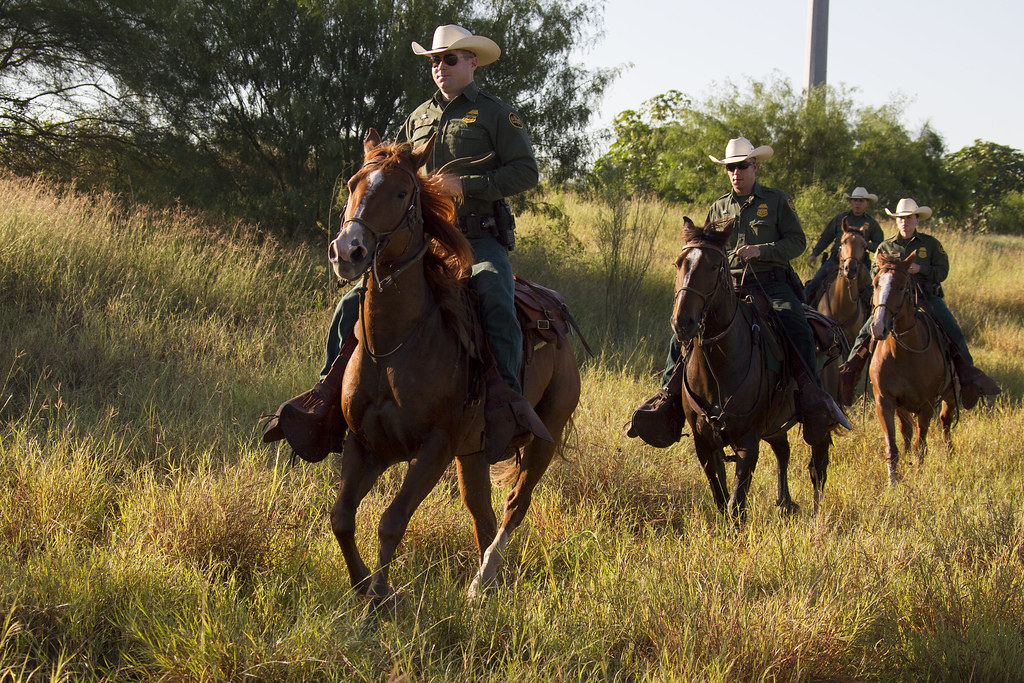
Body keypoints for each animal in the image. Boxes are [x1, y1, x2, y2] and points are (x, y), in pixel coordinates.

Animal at [324, 130, 580, 613]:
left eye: (401, 193)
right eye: (352, 184)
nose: (348, 251)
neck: (393, 349)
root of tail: (555, 310)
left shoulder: (434, 448)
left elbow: (391, 521)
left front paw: (382, 598)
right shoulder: (365, 443)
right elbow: (343, 517)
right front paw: (365, 588)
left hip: (545, 434)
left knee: (514, 506)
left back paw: (483, 578)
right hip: (474, 451)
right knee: (482, 511)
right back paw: (487, 584)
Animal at [671, 217, 840, 518]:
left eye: (714, 266)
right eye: (680, 263)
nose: (682, 323)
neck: (719, 368)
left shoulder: (748, 442)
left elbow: (736, 503)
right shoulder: (704, 443)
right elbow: (721, 498)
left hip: (817, 421)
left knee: (818, 466)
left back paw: (817, 515)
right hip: (775, 423)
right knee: (783, 449)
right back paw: (784, 501)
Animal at [867, 251, 955, 485]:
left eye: (901, 287)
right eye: (876, 283)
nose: (878, 327)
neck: (902, 354)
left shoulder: (926, 405)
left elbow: (921, 446)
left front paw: (918, 474)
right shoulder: (884, 401)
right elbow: (892, 444)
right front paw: (893, 481)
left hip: (949, 395)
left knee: (945, 421)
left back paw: (949, 453)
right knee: (906, 430)